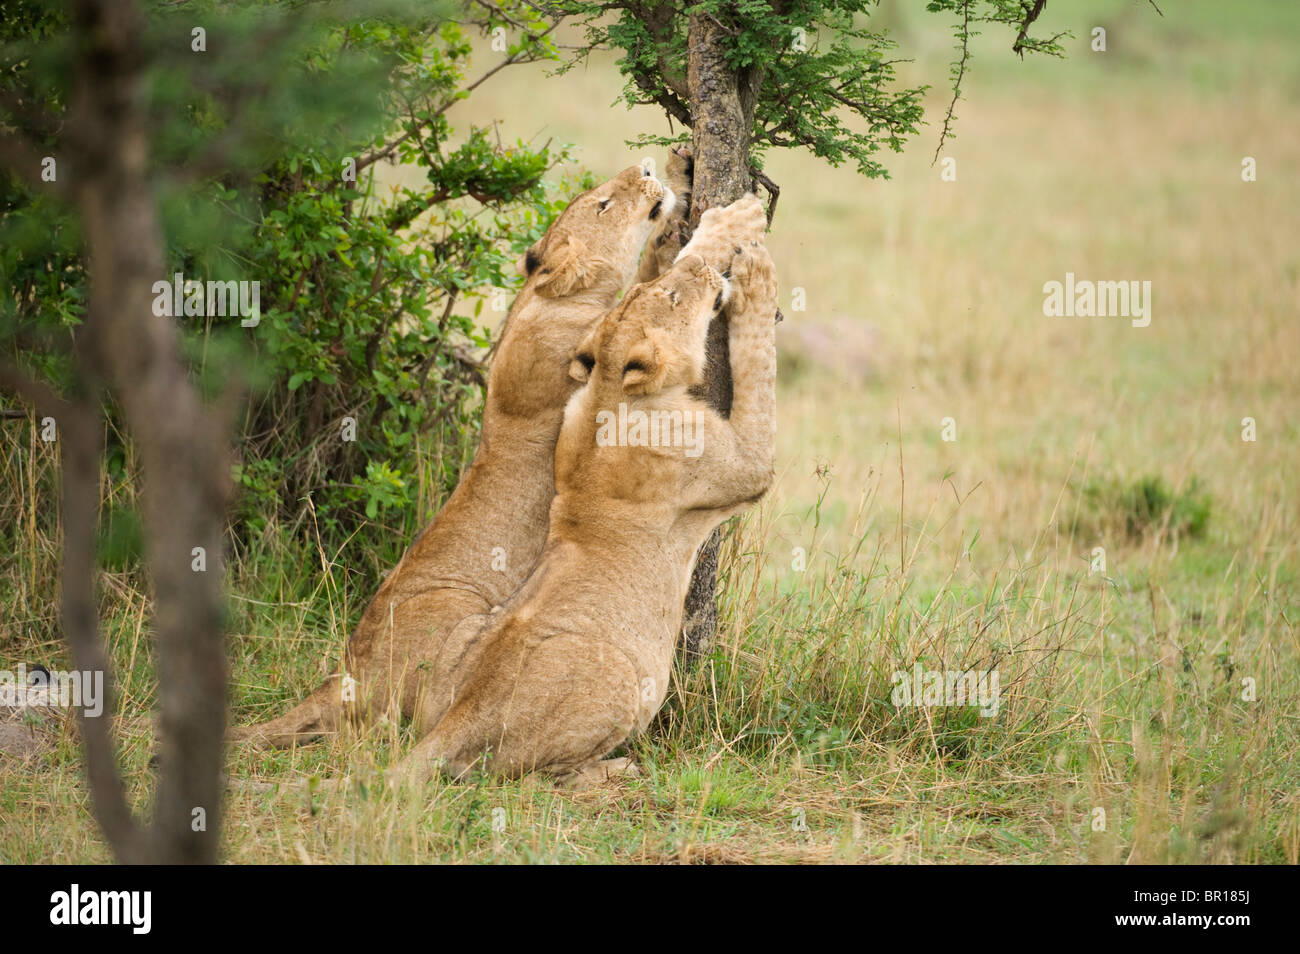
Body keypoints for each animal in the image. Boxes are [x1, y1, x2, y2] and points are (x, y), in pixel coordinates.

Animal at [390, 220, 778, 786]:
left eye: (653, 287)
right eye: (673, 295)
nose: (700, 264)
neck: (609, 392)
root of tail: (458, 720)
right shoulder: (745, 465)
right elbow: (759, 371)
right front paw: (755, 279)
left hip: (458, 639)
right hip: (620, 679)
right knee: (537, 780)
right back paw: (616, 770)